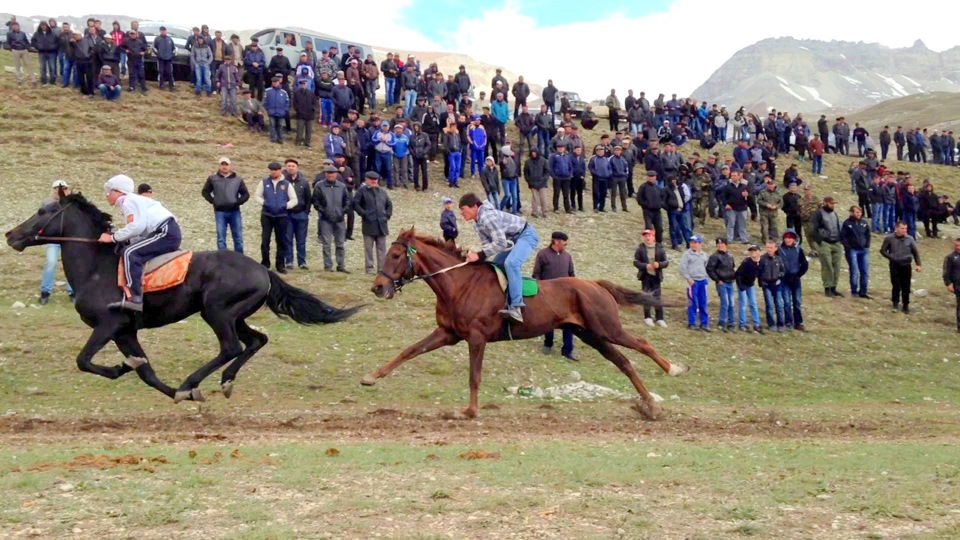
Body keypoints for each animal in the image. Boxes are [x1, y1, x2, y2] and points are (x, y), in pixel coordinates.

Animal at [5, 193, 358, 400]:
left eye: (44, 210)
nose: (10, 235)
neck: (96, 266)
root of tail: (262, 270)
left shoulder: (108, 324)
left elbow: (83, 360)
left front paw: (126, 371)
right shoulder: (125, 331)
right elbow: (146, 372)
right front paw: (169, 389)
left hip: (217, 312)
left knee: (231, 347)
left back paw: (193, 382)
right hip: (234, 315)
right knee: (256, 341)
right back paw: (224, 381)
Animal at [364, 230, 688, 420]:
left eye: (395, 255)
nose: (378, 287)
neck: (459, 283)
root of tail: (595, 284)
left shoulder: (476, 337)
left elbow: (474, 376)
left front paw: (469, 411)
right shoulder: (448, 333)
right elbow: (409, 351)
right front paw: (371, 376)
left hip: (607, 328)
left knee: (641, 345)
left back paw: (672, 370)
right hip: (591, 335)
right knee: (623, 362)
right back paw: (649, 405)